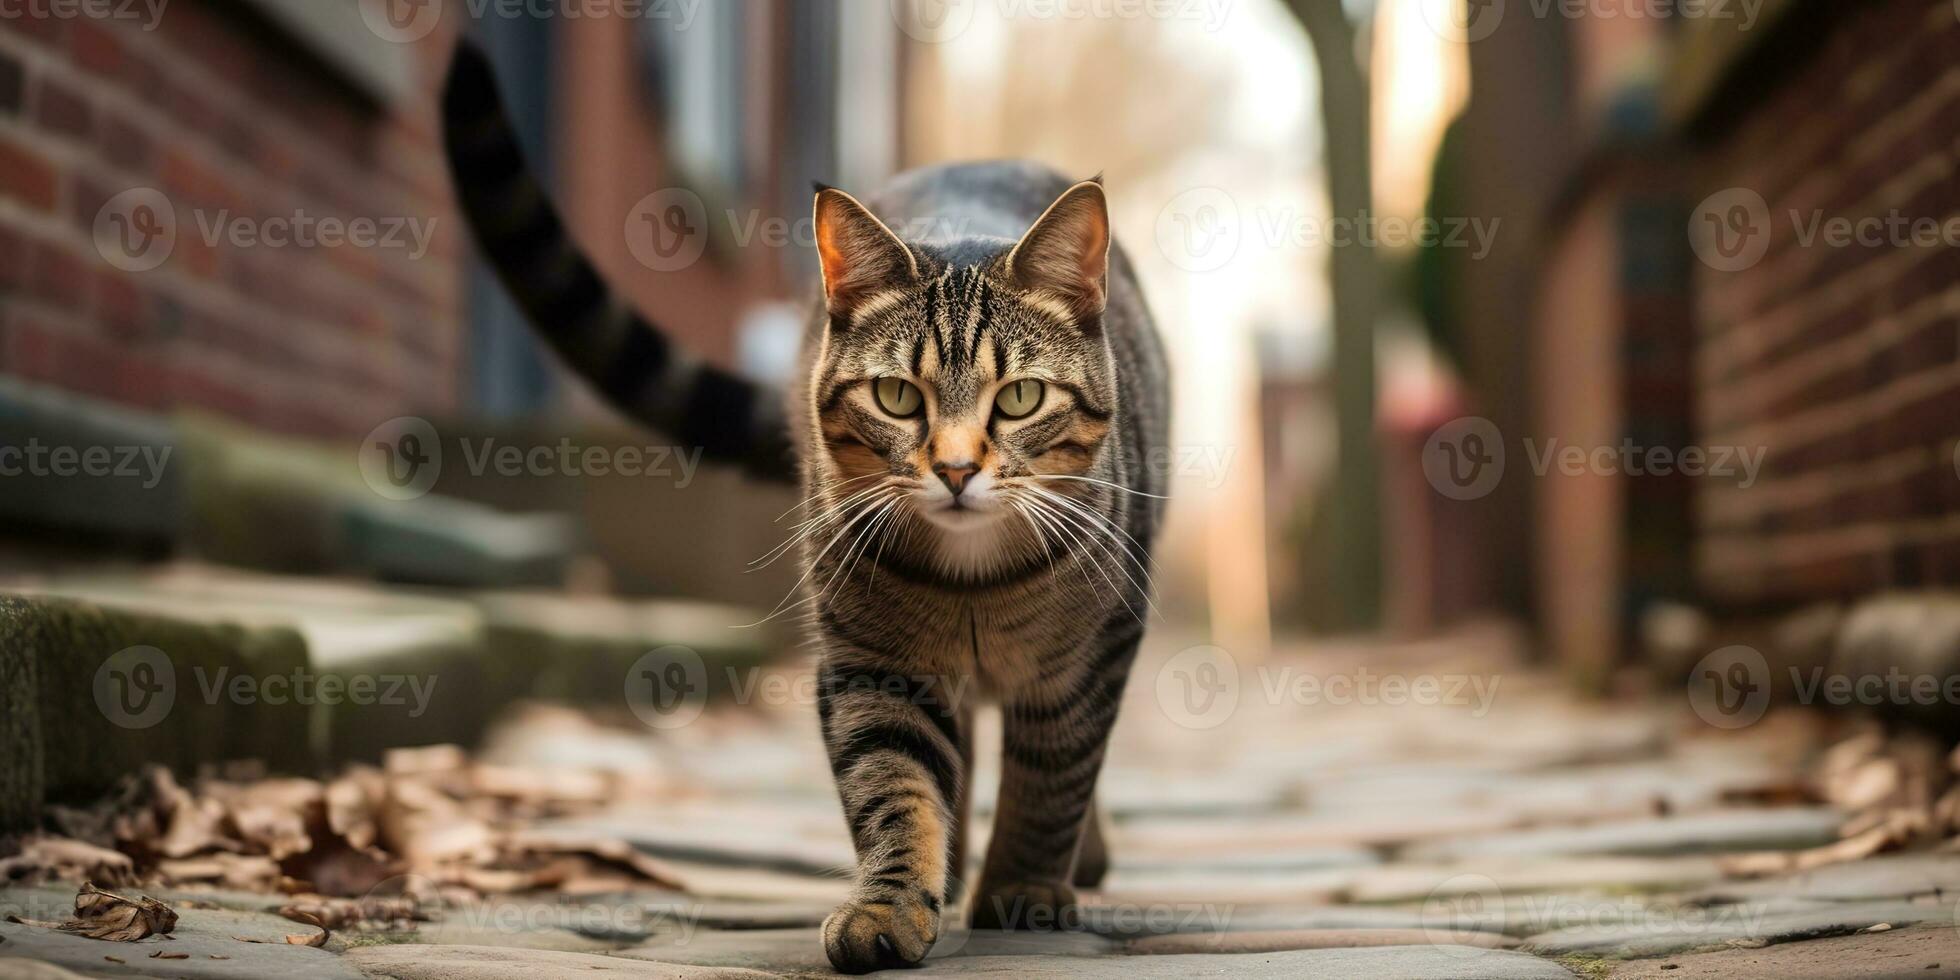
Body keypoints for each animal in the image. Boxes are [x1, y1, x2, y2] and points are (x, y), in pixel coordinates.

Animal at [446, 42, 1168, 968]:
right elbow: (895, 782)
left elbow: (1054, 775)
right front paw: (895, 899)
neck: (972, 581)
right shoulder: (869, 660)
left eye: (1019, 398)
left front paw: (1024, 887)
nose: (956, 469)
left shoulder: (1090, 657)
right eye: (897, 397)